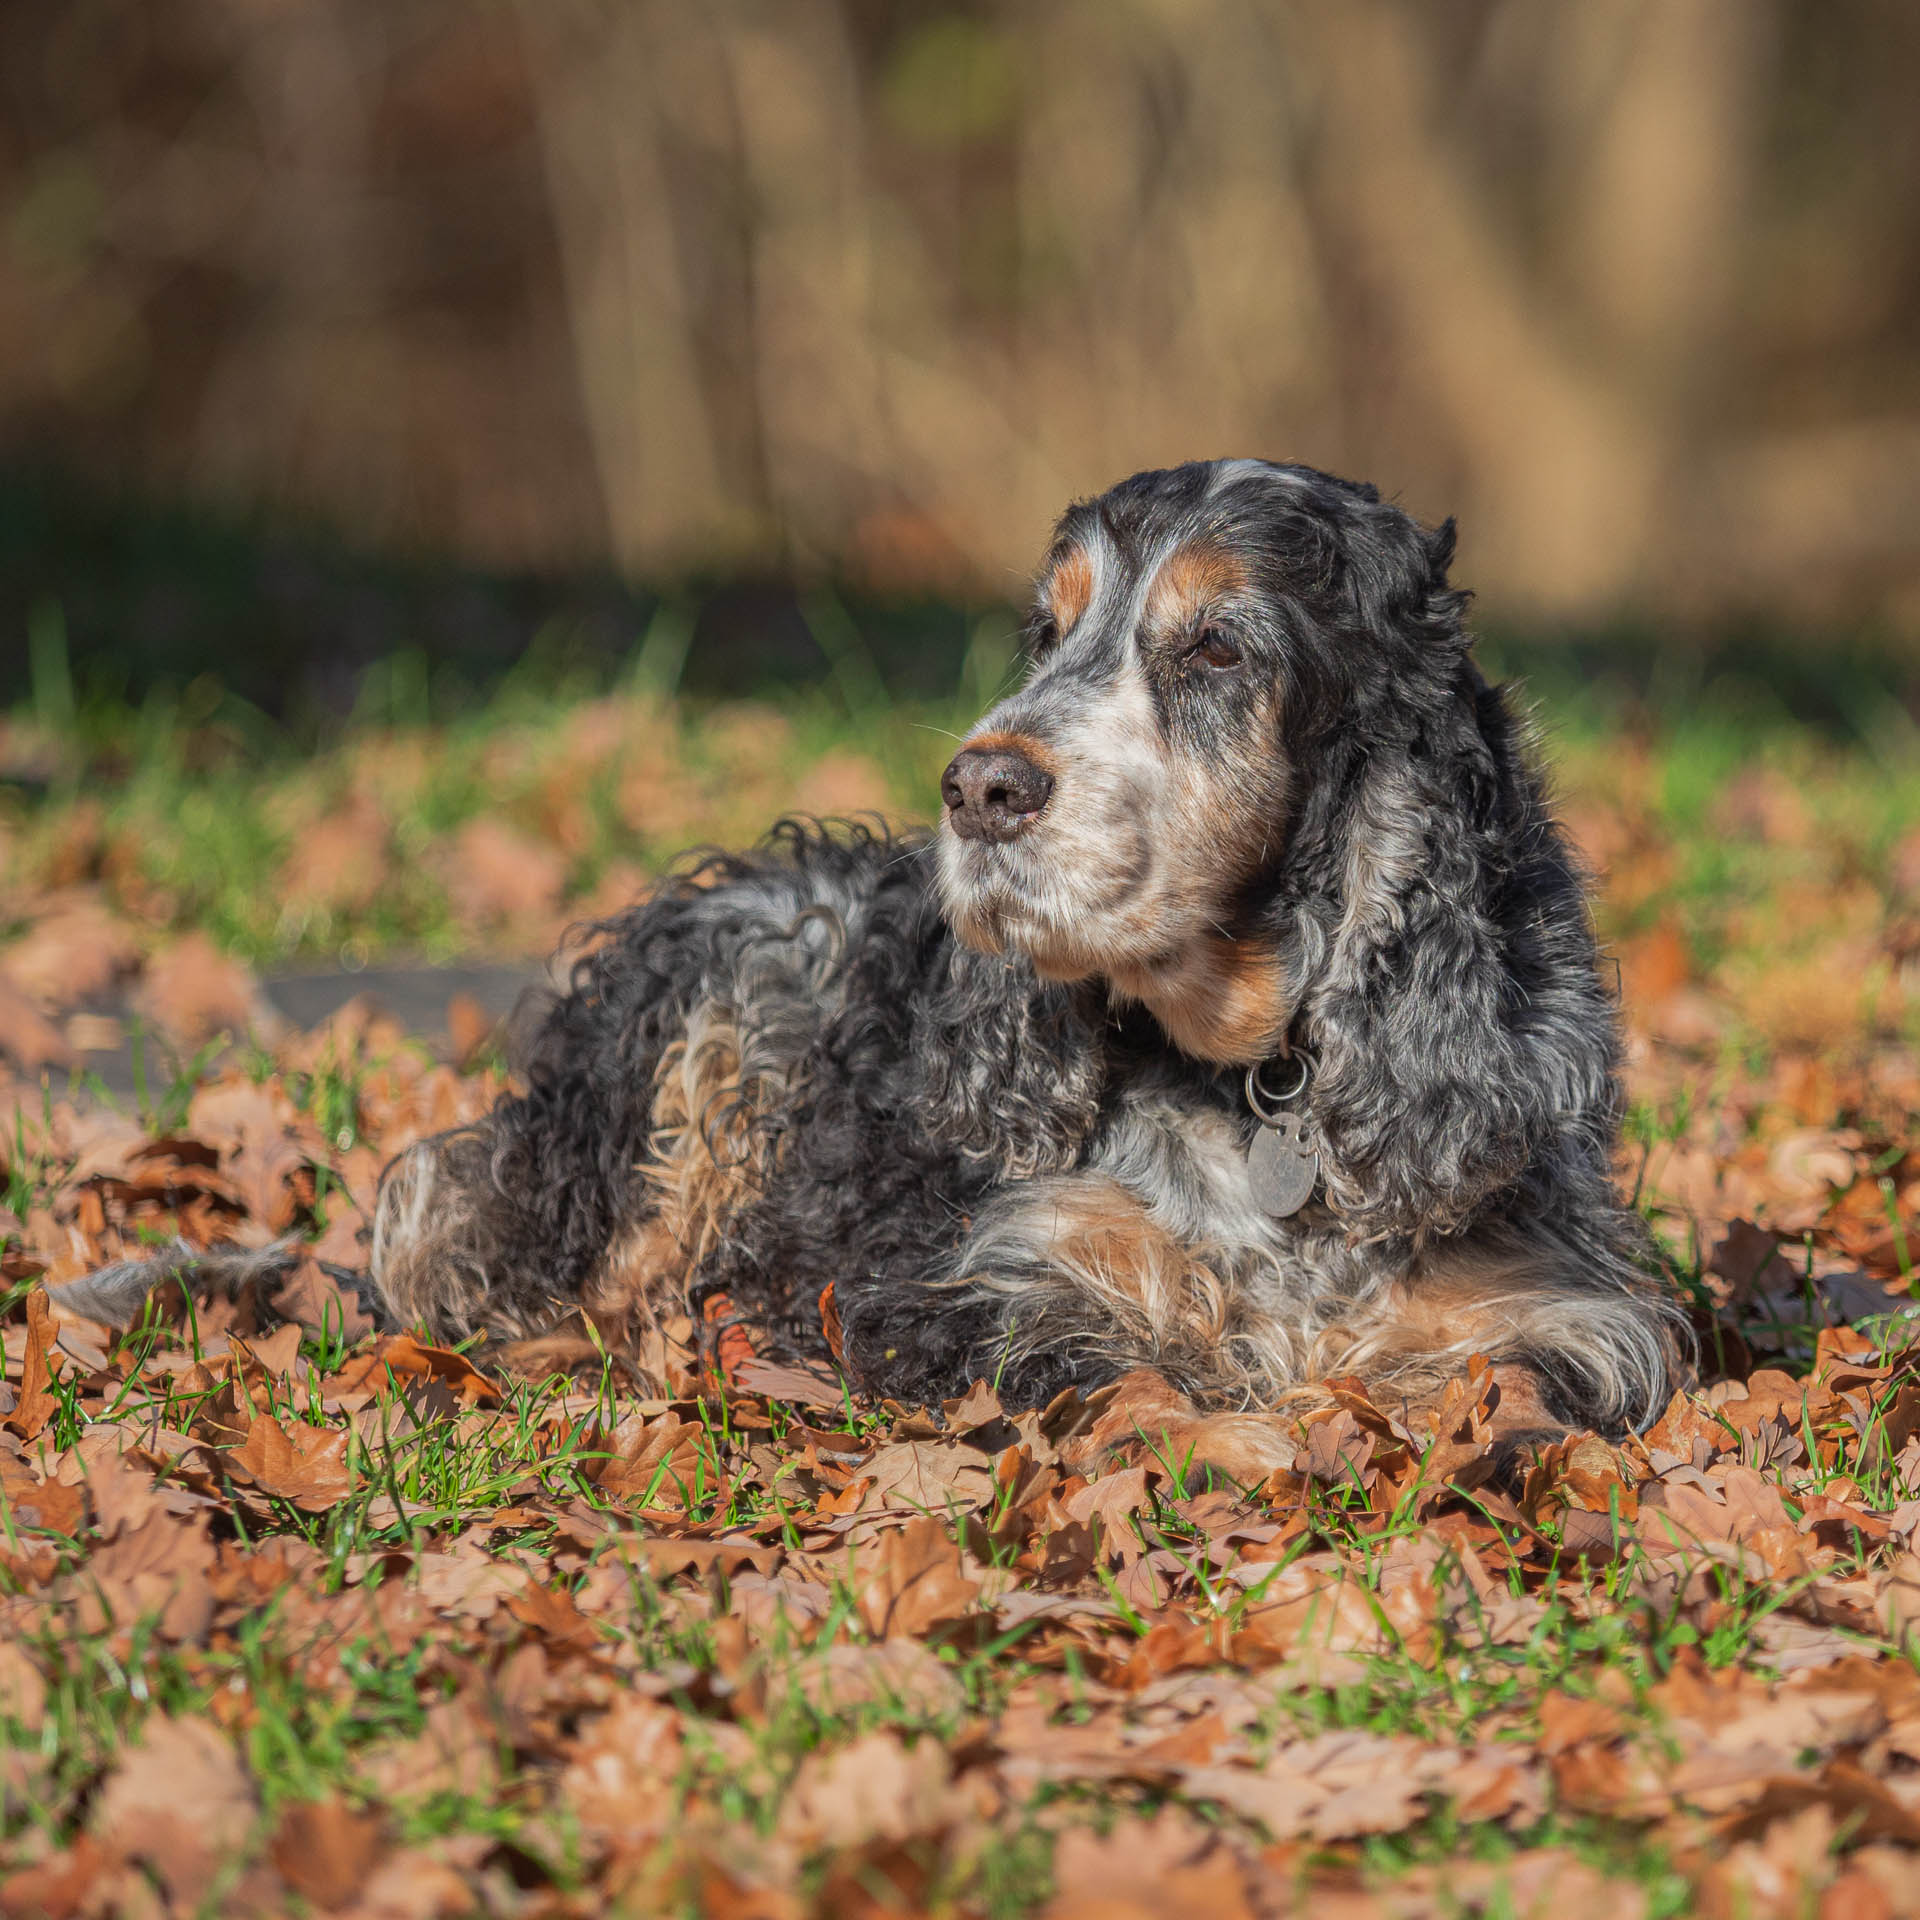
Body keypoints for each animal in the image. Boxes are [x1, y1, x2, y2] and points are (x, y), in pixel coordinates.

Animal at [366, 460, 1689, 1428]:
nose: (979, 786)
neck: (1254, 1087)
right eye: (1046, 635)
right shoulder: (987, 1279)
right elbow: (1146, 1388)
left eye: (1218, 646)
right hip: (724, 1010)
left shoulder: (1559, 1320)